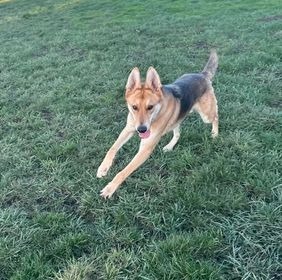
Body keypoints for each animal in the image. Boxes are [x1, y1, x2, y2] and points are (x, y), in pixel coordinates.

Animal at [96, 50, 218, 199]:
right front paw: (103, 167)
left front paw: (110, 188)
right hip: (176, 120)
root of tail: (202, 74)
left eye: (150, 107)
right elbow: (112, 148)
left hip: (206, 115)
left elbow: (124, 171)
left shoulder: (145, 148)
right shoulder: (128, 129)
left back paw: (215, 134)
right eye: (134, 107)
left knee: (216, 117)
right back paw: (170, 146)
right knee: (178, 133)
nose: (142, 130)